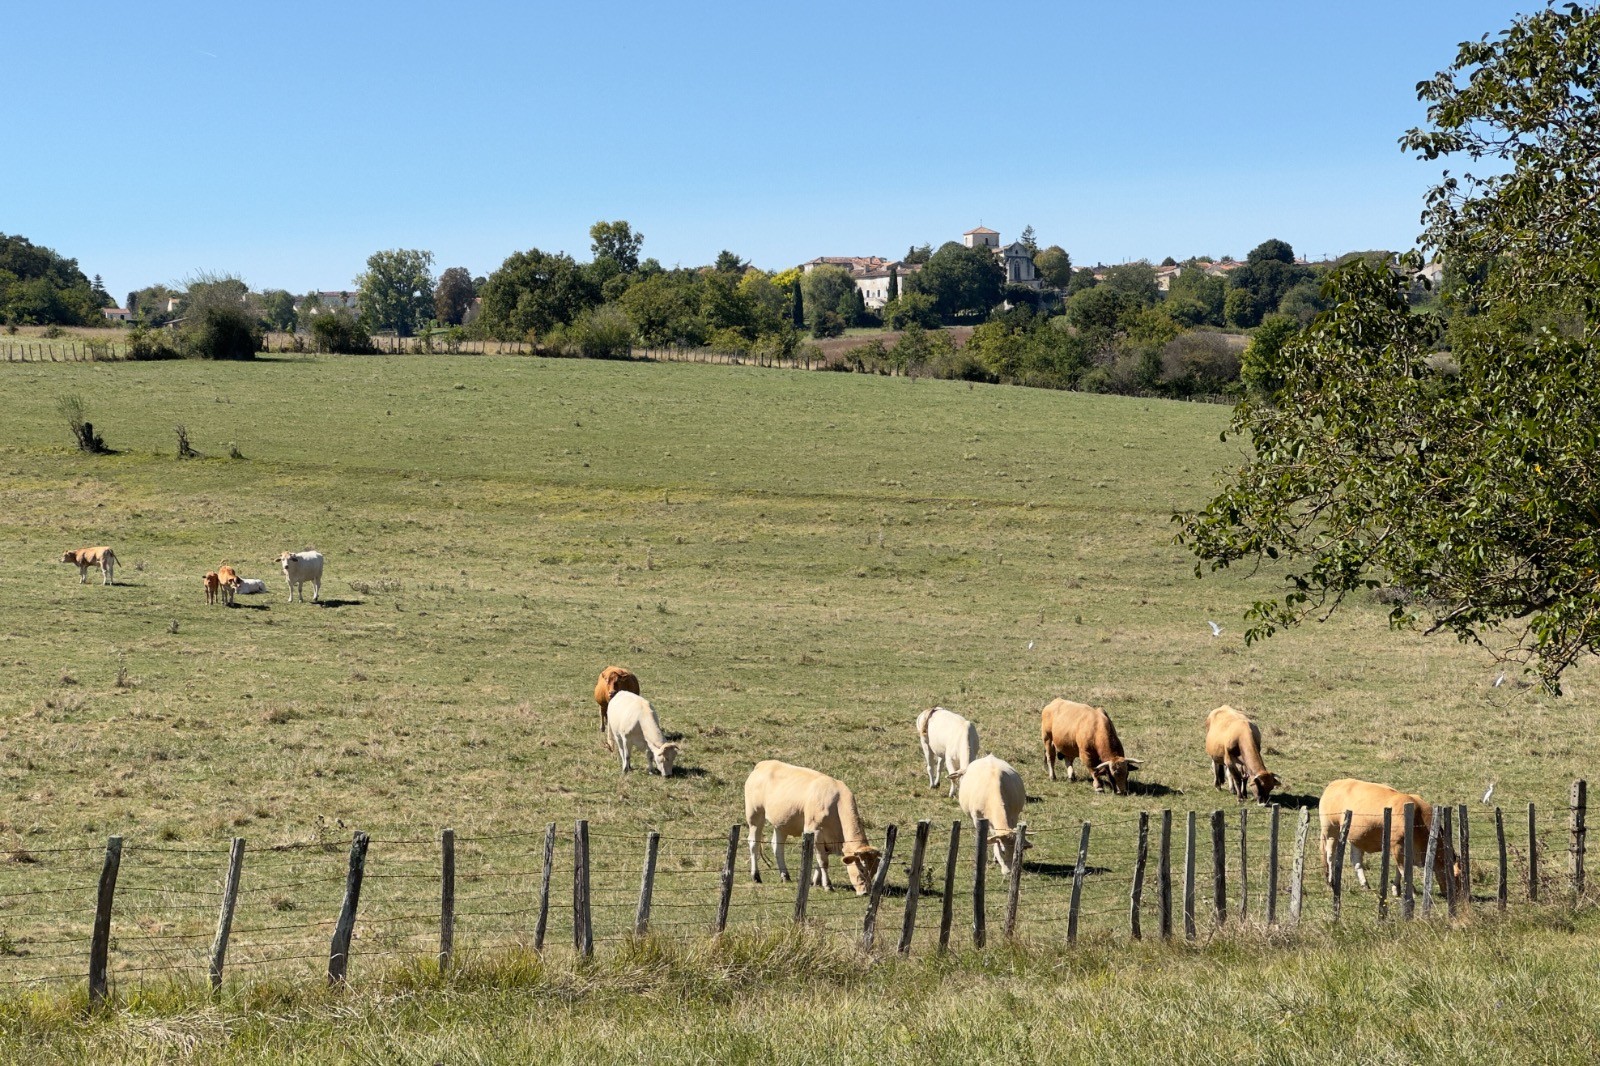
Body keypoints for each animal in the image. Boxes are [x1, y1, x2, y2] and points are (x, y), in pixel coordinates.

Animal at [744, 760, 881, 895]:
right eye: (862, 869)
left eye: (874, 870)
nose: (866, 892)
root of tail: (763, 764)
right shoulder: (815, 832)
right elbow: (823, 861)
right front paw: (828, 885)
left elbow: (820, 860)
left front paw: (816, 882)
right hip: (755, 815)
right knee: (754, 843)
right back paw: (756, 876)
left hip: (781, 823)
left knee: (777, 846)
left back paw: (785, 876)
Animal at [1319, 778, 1454, 891]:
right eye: (1456, 876)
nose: (1458, 897)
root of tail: (1334, 784)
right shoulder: (1397, 845)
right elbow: (1402, 868)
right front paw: (1411, 890)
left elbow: (1400, 868)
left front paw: (1396, 888)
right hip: (1331, 830)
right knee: (1330, 855)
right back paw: (1331, 882)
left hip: (1356, 836)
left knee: (1356, 859)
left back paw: (1365, 884)